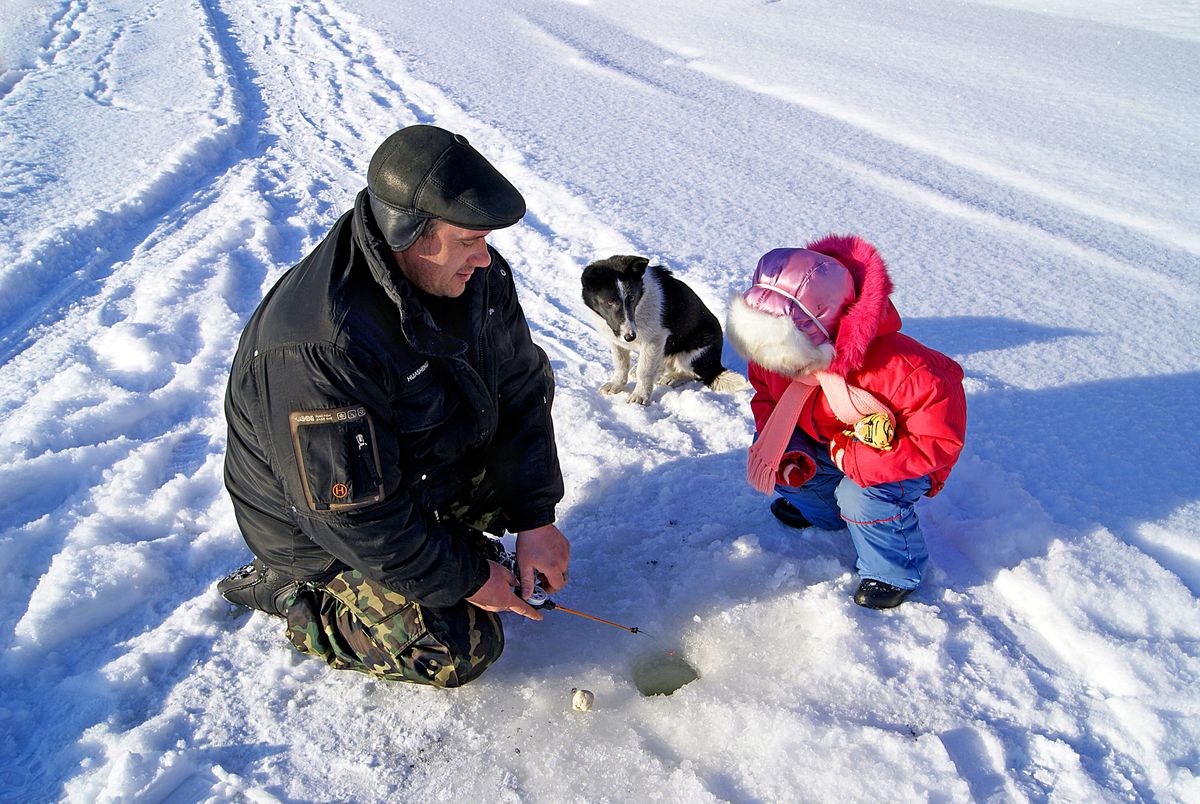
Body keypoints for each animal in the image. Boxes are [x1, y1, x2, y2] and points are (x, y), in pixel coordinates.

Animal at [583, 256, 748, 405]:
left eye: (632, 299)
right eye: (610, 302)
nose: (630, 337)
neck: (641, 302)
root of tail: (716, 366)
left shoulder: (654, 339)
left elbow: (645, 371)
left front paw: (640, 396)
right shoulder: (617, 341)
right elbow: (621, 365)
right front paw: (617, 384)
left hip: (692, 353)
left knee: (693, 373)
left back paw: (673, 377)